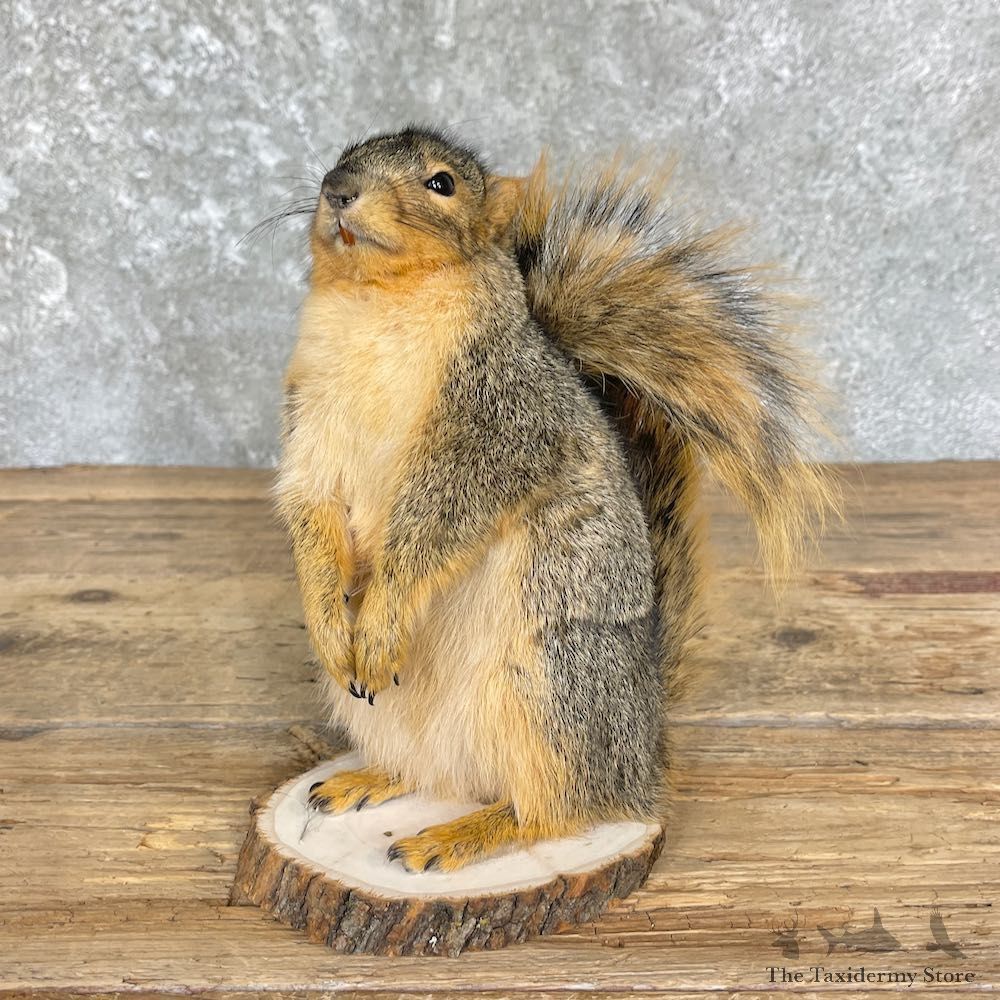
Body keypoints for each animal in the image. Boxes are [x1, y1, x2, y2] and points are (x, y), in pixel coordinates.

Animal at [274, 126, 836, 873]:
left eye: (441, 184)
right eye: (344, 154)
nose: (338, 188)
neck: (379, 304)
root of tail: (643, 745)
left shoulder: (500, 425)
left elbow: (436, 525)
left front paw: (382, 619)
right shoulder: (311, 425)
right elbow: (310, 508)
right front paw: (330, 620)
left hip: (553, 690)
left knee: (562, 809)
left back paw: (460, 836)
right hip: (383, 713)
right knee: (436, 775)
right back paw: (369, 778)